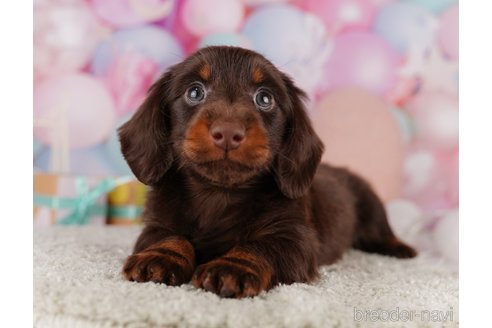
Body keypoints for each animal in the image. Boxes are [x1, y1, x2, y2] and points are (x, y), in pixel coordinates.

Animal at [119, 46, 416, 300]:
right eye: (194, 92)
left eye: (264, 98)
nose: (228, 133)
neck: (220, 193)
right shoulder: (157, 223)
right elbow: (170, 237)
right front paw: (160, 257)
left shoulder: (293, 237)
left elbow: (259, 246)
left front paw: (233, 267)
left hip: (371, 205)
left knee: (380, 232)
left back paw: (399, 248)